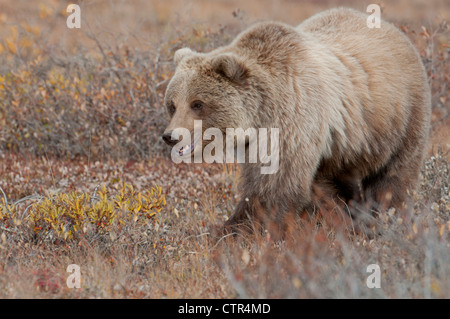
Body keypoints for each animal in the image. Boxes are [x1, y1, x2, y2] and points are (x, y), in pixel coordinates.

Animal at [162, 7, 432, 232]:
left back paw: (383, 217)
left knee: (393, 176)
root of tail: (395, 31)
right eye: (172, 104)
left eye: (197, 104)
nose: (170, 136)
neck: (259, 116)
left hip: (399, 118)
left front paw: (236, 229)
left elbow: (276, 186)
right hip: (343, 146)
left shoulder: (292, 121)